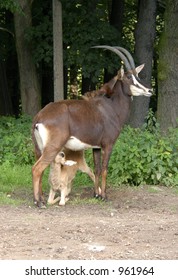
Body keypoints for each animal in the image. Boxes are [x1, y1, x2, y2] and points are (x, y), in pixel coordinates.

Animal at [31, 45, 152, 208]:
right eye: (128, 77)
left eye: (137, 76)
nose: (150, 90)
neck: (111, 107)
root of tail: (40, 116)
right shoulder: (108, 145)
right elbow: (105, 168)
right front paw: (104, 196)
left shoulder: (96, 147)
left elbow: (97, 169)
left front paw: (96, 194)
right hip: (53, 147)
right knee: (37, 169)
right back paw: (39, 202)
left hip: (39, 148)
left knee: (40, 169)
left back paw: (42, 199)